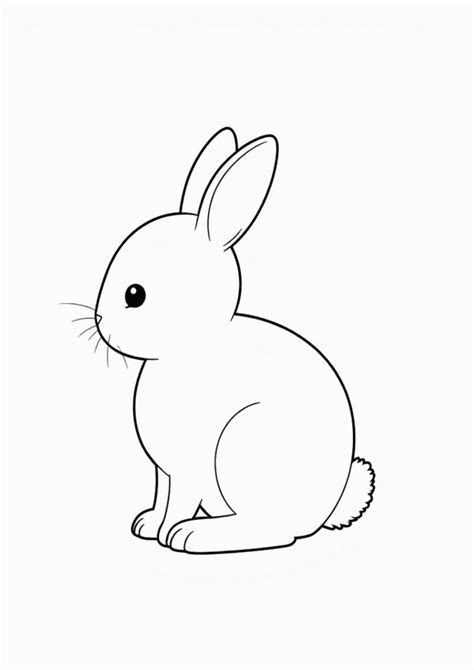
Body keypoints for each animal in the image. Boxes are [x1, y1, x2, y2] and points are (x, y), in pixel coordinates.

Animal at [93, 128, 375, 553]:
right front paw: (147, 524)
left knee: (274, 531)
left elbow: (178, 501)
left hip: (243, 446)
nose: (99, 321)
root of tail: (326, 509)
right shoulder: (164, 470)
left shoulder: (189, 466)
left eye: (135, 295)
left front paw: (167, 533)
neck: (190, 349)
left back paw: (196, 535)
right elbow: (162, 495)